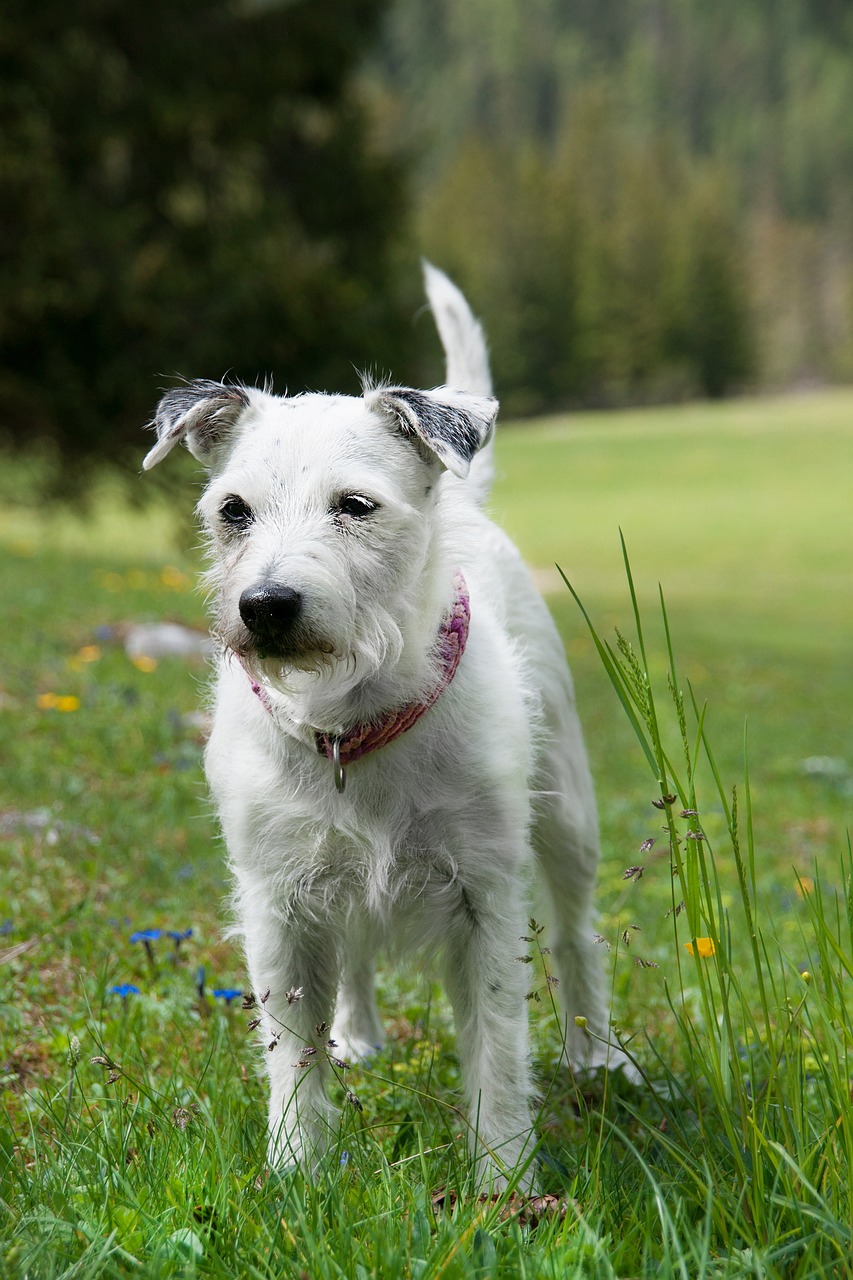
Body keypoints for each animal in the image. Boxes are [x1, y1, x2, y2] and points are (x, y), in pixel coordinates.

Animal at [144, 262, 625, 1187]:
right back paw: (357, 1036)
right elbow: (291, 1052)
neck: (349, 718)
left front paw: (503, 1180)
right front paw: (298, 1172)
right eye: (233, 510)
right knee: (356, 955)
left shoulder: (484, 895)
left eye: (356, 506)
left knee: (576, 936)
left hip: (567, 815)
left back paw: (600, 1058)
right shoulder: (279, 902)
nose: (265, 605)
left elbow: (496, 1044)